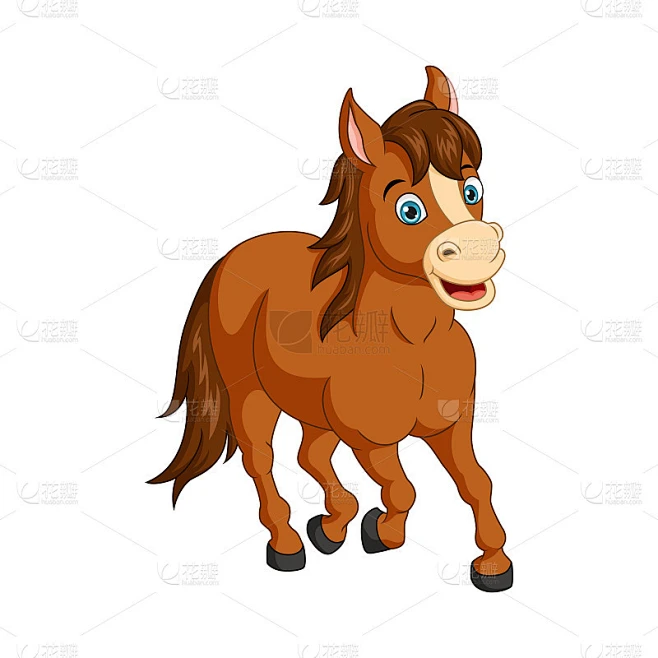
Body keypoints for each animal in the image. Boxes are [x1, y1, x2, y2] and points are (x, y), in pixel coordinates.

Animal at [149, 65, 512, 592]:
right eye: (409, 209)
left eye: (472, 191)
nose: (476, 251)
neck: (412, 343)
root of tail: (231, 257)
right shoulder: (371, 440)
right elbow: (403, 490)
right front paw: (381, 533)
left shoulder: (451, 426)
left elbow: (476, 482)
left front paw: (493, 564)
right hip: (251, 397)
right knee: (261, 459)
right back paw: (287, 544)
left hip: (313, 409)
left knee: (311, 457)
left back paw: (330, 527)